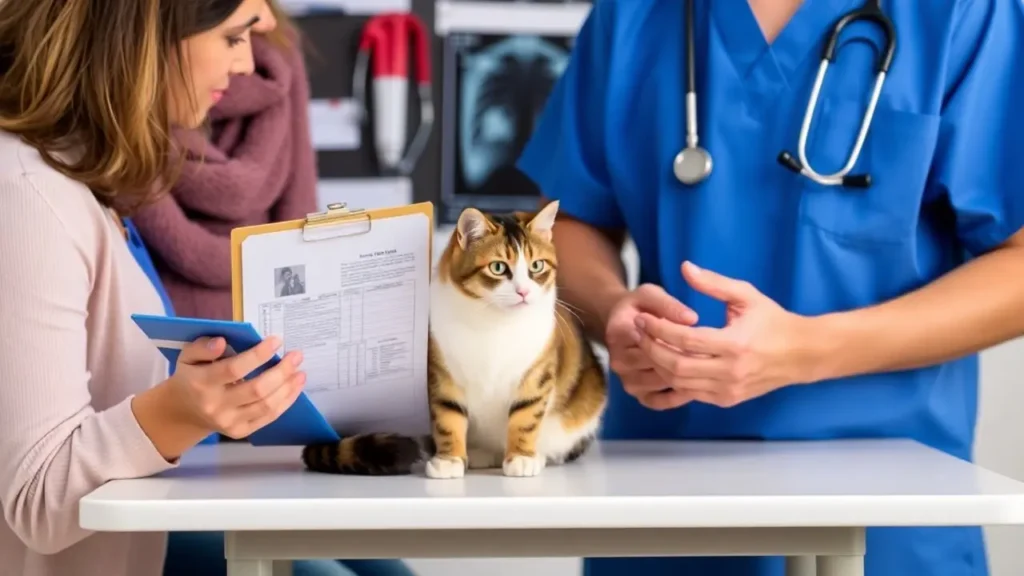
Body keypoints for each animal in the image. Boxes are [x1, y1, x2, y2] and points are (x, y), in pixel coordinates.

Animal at [303, 199, 606, 477]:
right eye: (498, 268)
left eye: (537, 266)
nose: (523, 292)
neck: (494, 322)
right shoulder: (441, 371)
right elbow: (448, 416)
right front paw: (450, 460)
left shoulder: (536, 372)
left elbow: (526, 416)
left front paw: (521, 457)